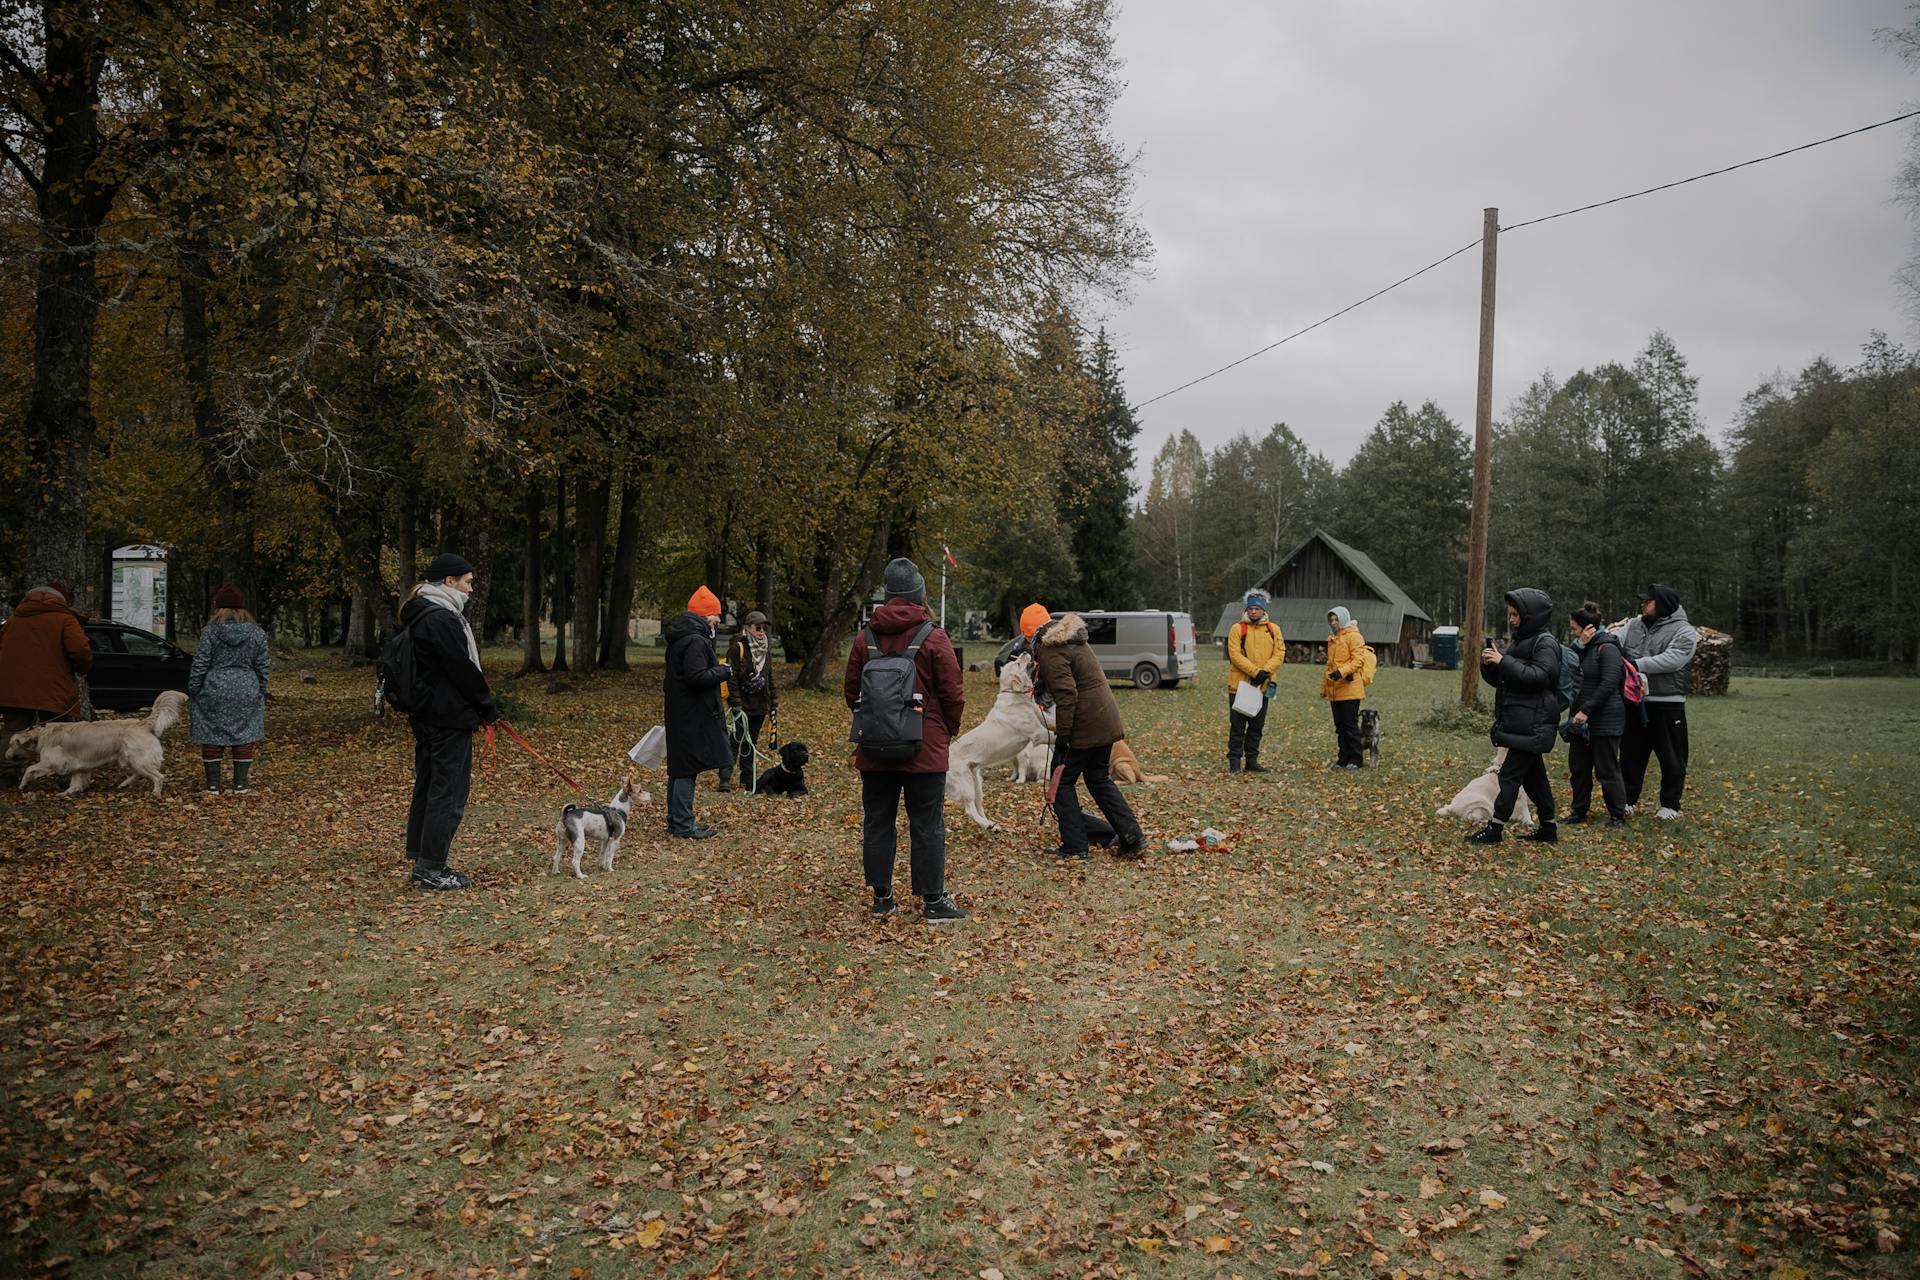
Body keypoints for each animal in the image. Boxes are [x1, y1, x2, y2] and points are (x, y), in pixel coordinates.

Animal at [6, 690, 189, 802]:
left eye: (11, 745)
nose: (6, 755)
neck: (41, 735)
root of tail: (143, 722)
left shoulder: (51, 764)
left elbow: (30, 768)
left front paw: (23, 784)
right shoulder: (79, 766)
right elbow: (75, 782)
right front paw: (68, 792)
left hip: (137, 759)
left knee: (158, 777)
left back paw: (155, 792)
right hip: (129, 759)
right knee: (139, 773)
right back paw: (125, 784)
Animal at [944, 656, 1052, 836]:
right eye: (1018, 663)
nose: (1024, 652)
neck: (1015, 695)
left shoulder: (1042, 719)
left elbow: (1053, 722)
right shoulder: (1037, 733)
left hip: (976, 783)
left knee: (978, 806)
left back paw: (992, 824)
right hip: (966, 783)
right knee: (970, 809)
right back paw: (987, 824)